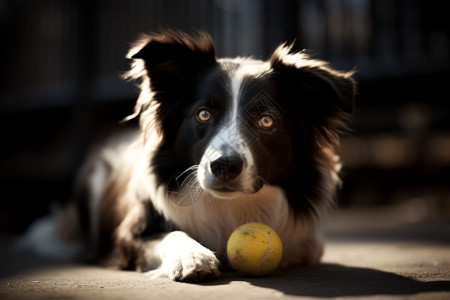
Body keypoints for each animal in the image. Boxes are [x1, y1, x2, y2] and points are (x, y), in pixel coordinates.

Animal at [23, 30, 356, 282]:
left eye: (266, 121)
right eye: (204, 114)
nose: (224, 165)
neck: (230, 207)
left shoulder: (309, 241)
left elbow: (305, 247)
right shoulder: (129, 235)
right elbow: (170, 235)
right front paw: (191, 256)